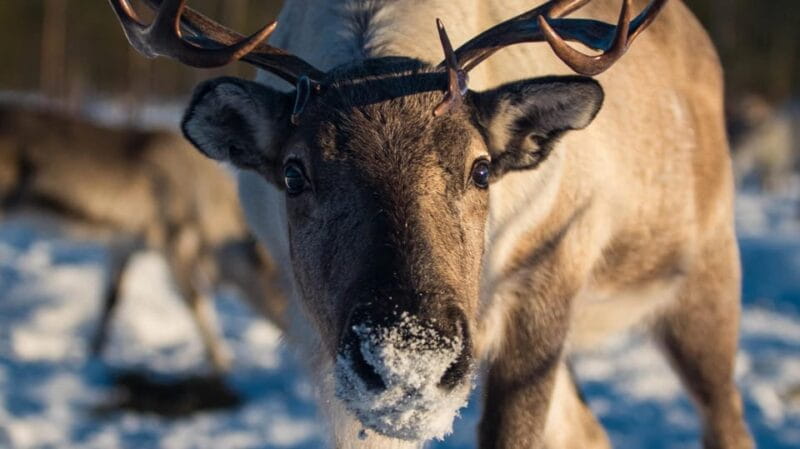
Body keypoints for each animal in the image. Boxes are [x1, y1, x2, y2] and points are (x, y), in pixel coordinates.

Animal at [0, 101, 287, 373]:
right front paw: (221, 361)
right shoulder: (175, 245)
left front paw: (95, 353)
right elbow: (197, 303)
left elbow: (111, 299)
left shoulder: (123, 243)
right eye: (275, 281)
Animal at [107, 0, 753, 448]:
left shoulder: (549, 276)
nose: (412, 358)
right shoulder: (325, 346)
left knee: (727, 418)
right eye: (293, 174)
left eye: (483, 169)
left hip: (706, 278)